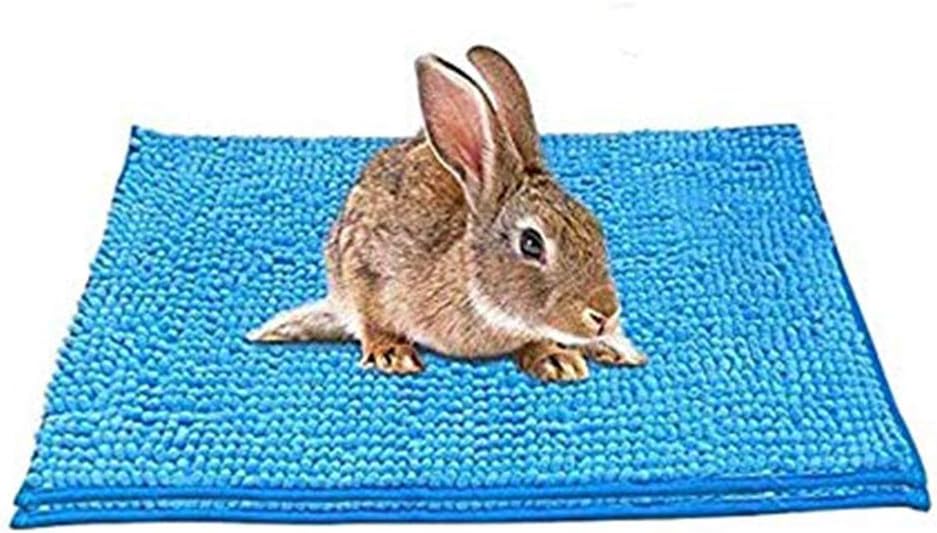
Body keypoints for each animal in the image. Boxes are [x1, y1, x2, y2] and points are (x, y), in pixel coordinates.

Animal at [248, 45, 647, 382]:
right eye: (531, 244)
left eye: (596, 228)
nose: (605, 314)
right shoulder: (363, 266)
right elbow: (372, 320)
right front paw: (391, 353)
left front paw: (556, 358)